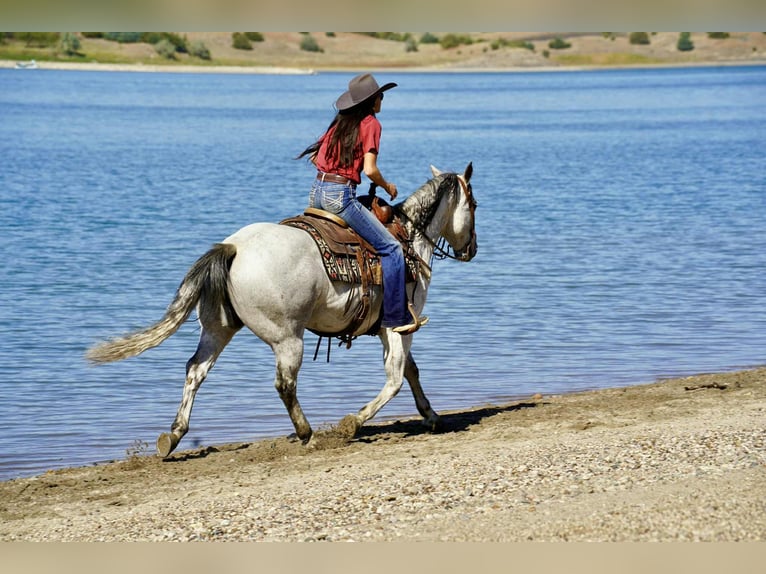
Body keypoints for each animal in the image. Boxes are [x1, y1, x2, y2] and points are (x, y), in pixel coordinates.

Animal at [86, 163, 478, 457]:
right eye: (473, 204)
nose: (471, 249)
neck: (408, 239)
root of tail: (233, 248)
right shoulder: (398, 326)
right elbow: (397, 376)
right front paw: (353, 421)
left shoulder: (392, 328)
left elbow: (409, 371)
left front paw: (431, 415)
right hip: (288, 338)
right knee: (284, 384)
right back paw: (308, 434)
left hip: (218, 328)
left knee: (195, 370)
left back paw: (173, 436)